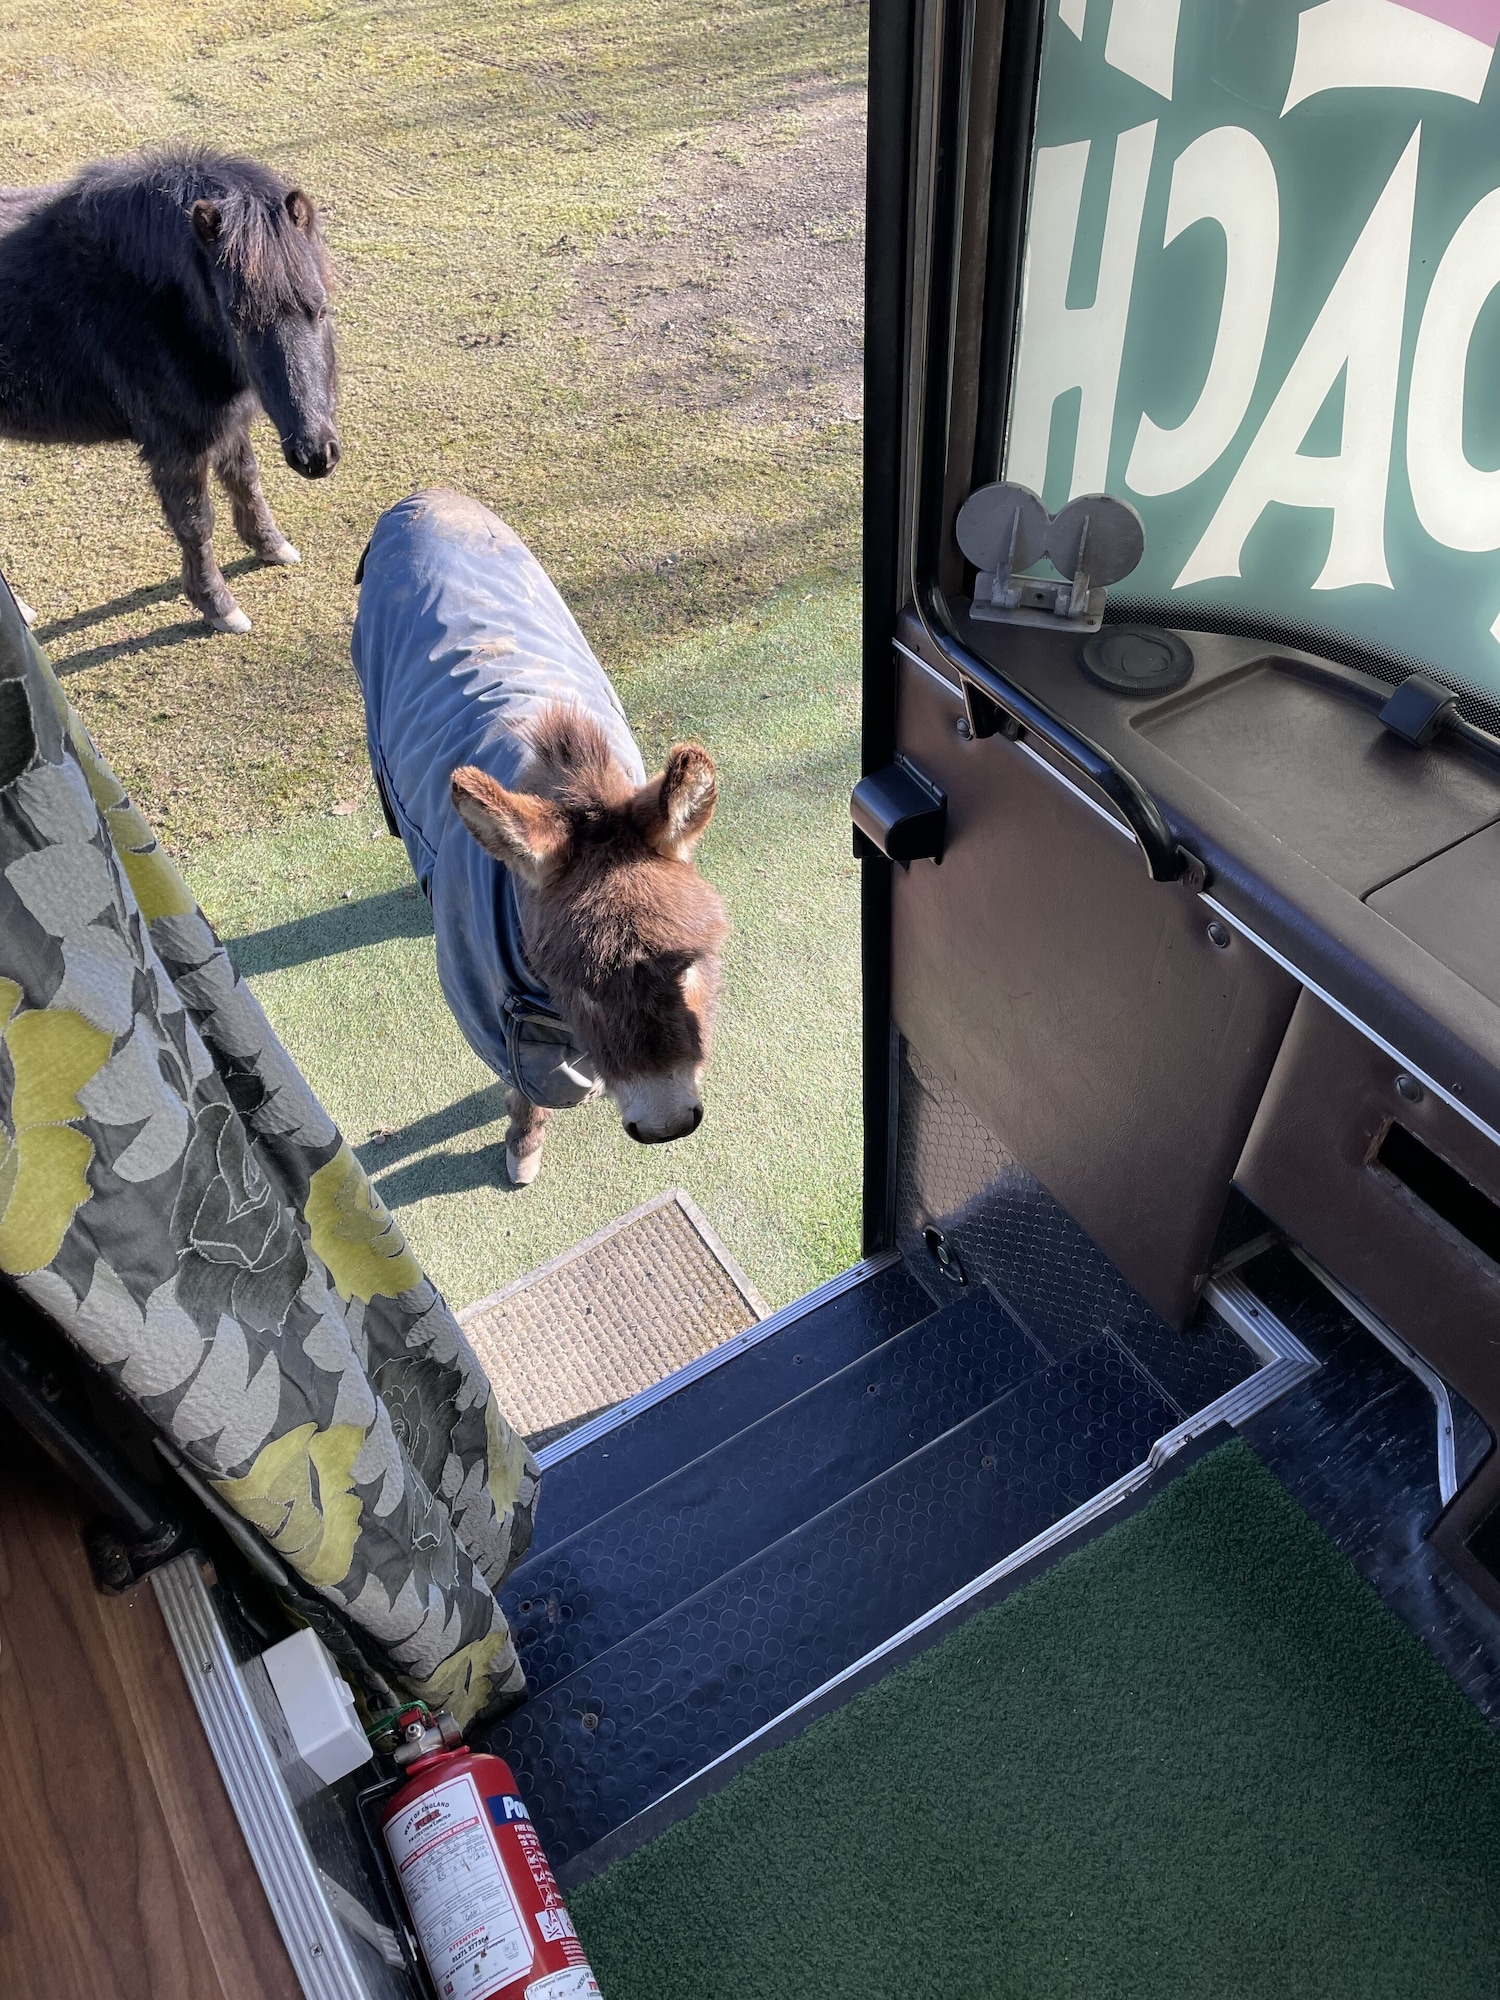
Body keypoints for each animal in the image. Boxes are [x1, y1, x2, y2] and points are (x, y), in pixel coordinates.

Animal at [0, 149, 340, 635]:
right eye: (236, 319)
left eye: (320, 307)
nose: (315, 455)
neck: (156, 302)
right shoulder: (176, 445)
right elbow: (195, 522)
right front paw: (218, 606)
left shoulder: (222, 421)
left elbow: (244, 479)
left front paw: (271, 546)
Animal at [352, 490, 728, 1187]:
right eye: (580, 986)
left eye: (688, 964)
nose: (665, 1126)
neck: (580, 789)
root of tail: (423, 496)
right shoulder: (492, 1012)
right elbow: (526, 1084)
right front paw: (523, 1142)